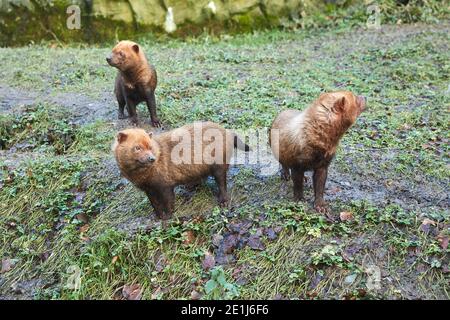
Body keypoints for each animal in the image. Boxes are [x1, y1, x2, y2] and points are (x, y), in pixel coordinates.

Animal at [112, 122, 251, 220]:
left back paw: (223, 201)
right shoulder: (147, 188)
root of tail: (227, 131)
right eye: (137, 147)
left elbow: (168, 199)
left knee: (221, 181)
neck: (143, 178)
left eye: (150, 147)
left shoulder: (164, 182)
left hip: (219, 163)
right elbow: (154, 203)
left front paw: (167, 216)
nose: (151, 158)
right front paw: (158, 216)